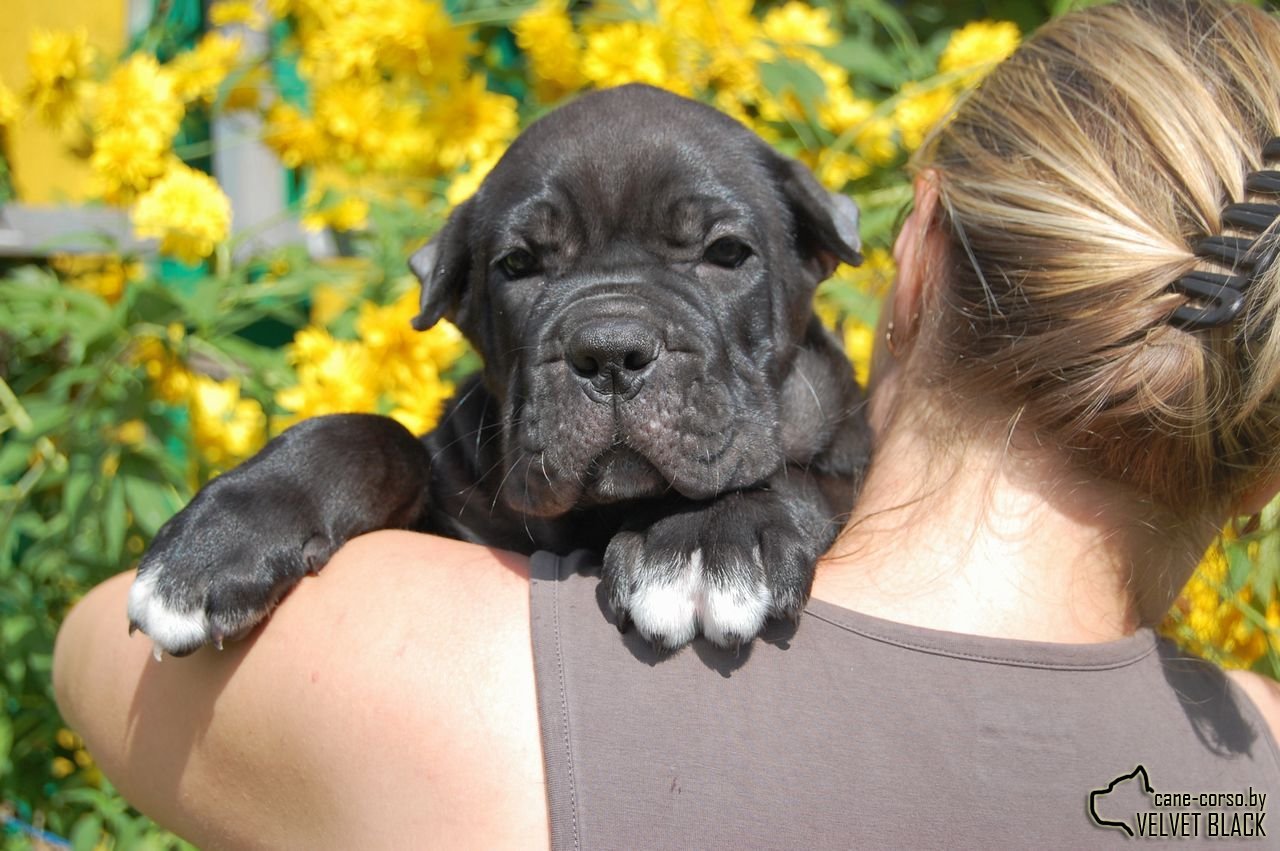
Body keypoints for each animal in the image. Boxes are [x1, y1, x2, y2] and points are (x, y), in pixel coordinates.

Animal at [127, 86, 870, 652]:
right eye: (518, 265)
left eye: (726, 253)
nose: (610, 351)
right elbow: (372, 432)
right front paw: (223, 537)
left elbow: (791, 474)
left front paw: (705, 535)